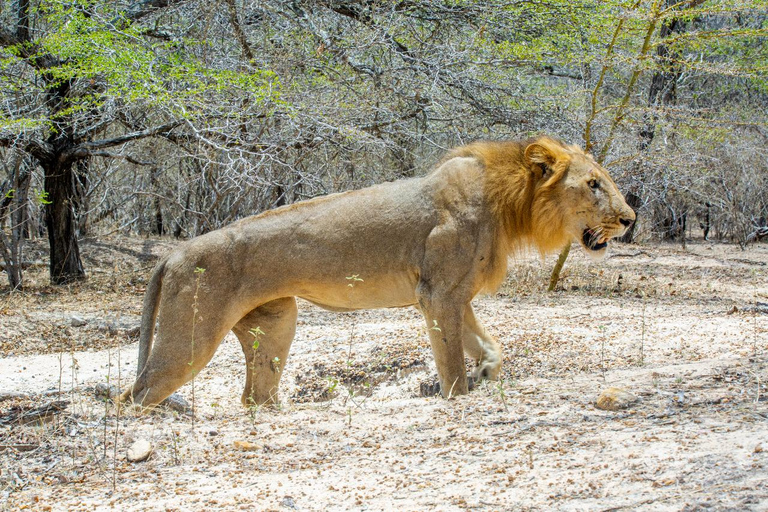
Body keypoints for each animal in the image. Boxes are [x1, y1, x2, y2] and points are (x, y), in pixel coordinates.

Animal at [121, 135, 636, 408]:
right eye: (593, 184)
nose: (630, 219)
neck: (509, 205)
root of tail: (172, 254)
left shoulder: (455, 295)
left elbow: (490, 345)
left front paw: (487, 371)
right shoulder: (437, 294)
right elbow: (451, 364)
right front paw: (459, 394)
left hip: (277, 321)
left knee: (253, 397)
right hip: (191, 338)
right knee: (135, 395)